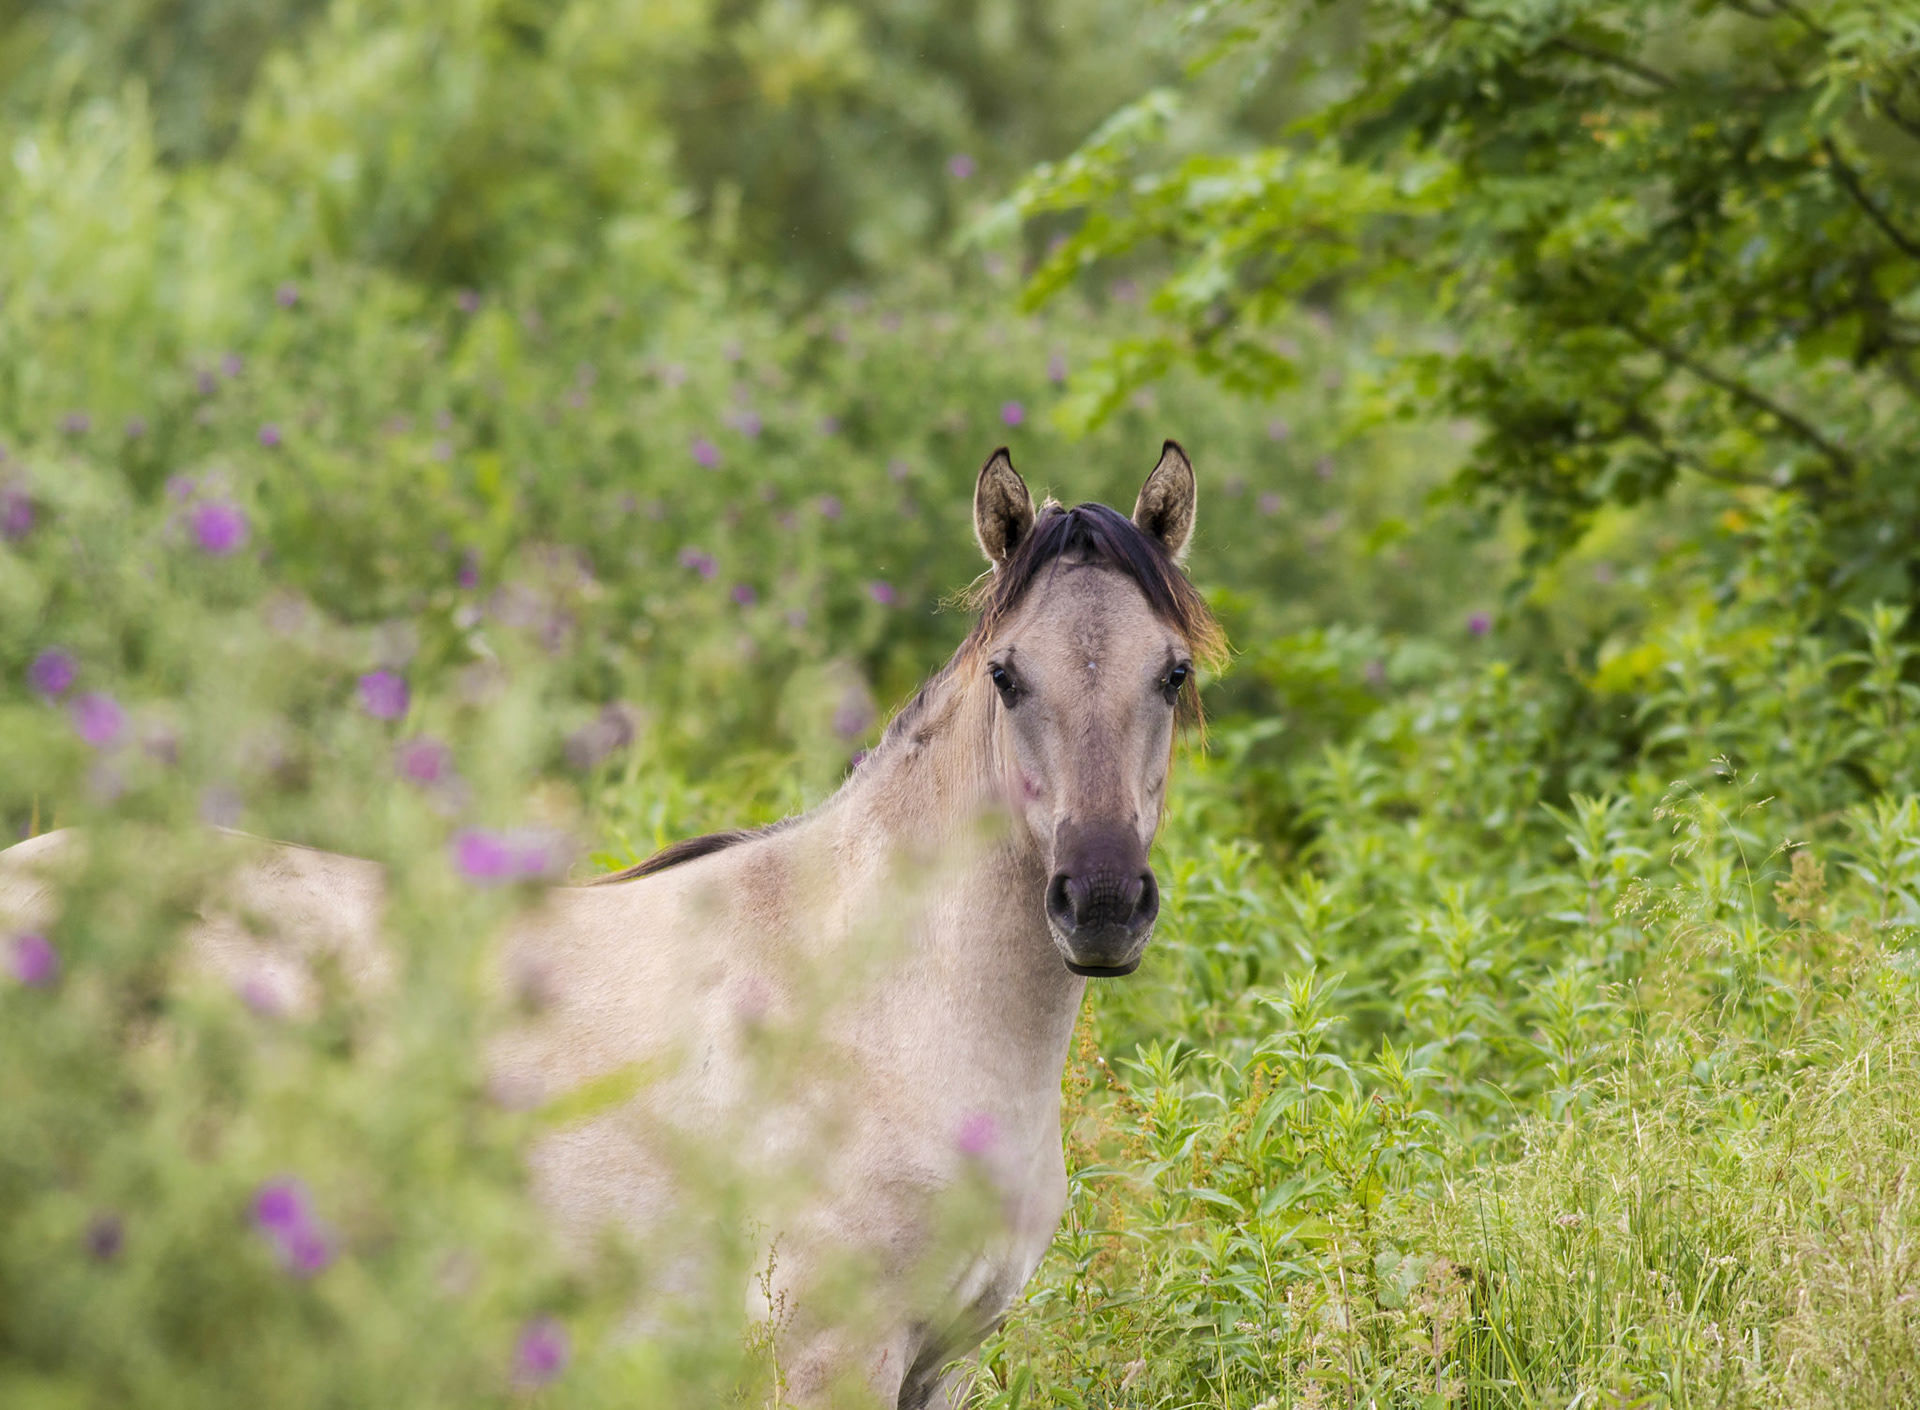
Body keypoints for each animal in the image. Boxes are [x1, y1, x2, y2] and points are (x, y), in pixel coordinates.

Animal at [0, 442, 1223, 1408]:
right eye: (1009, 676)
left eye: (1170, 674)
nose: (1101, 902)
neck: (886, 1003)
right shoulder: (834, 1357)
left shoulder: (945, 1365)